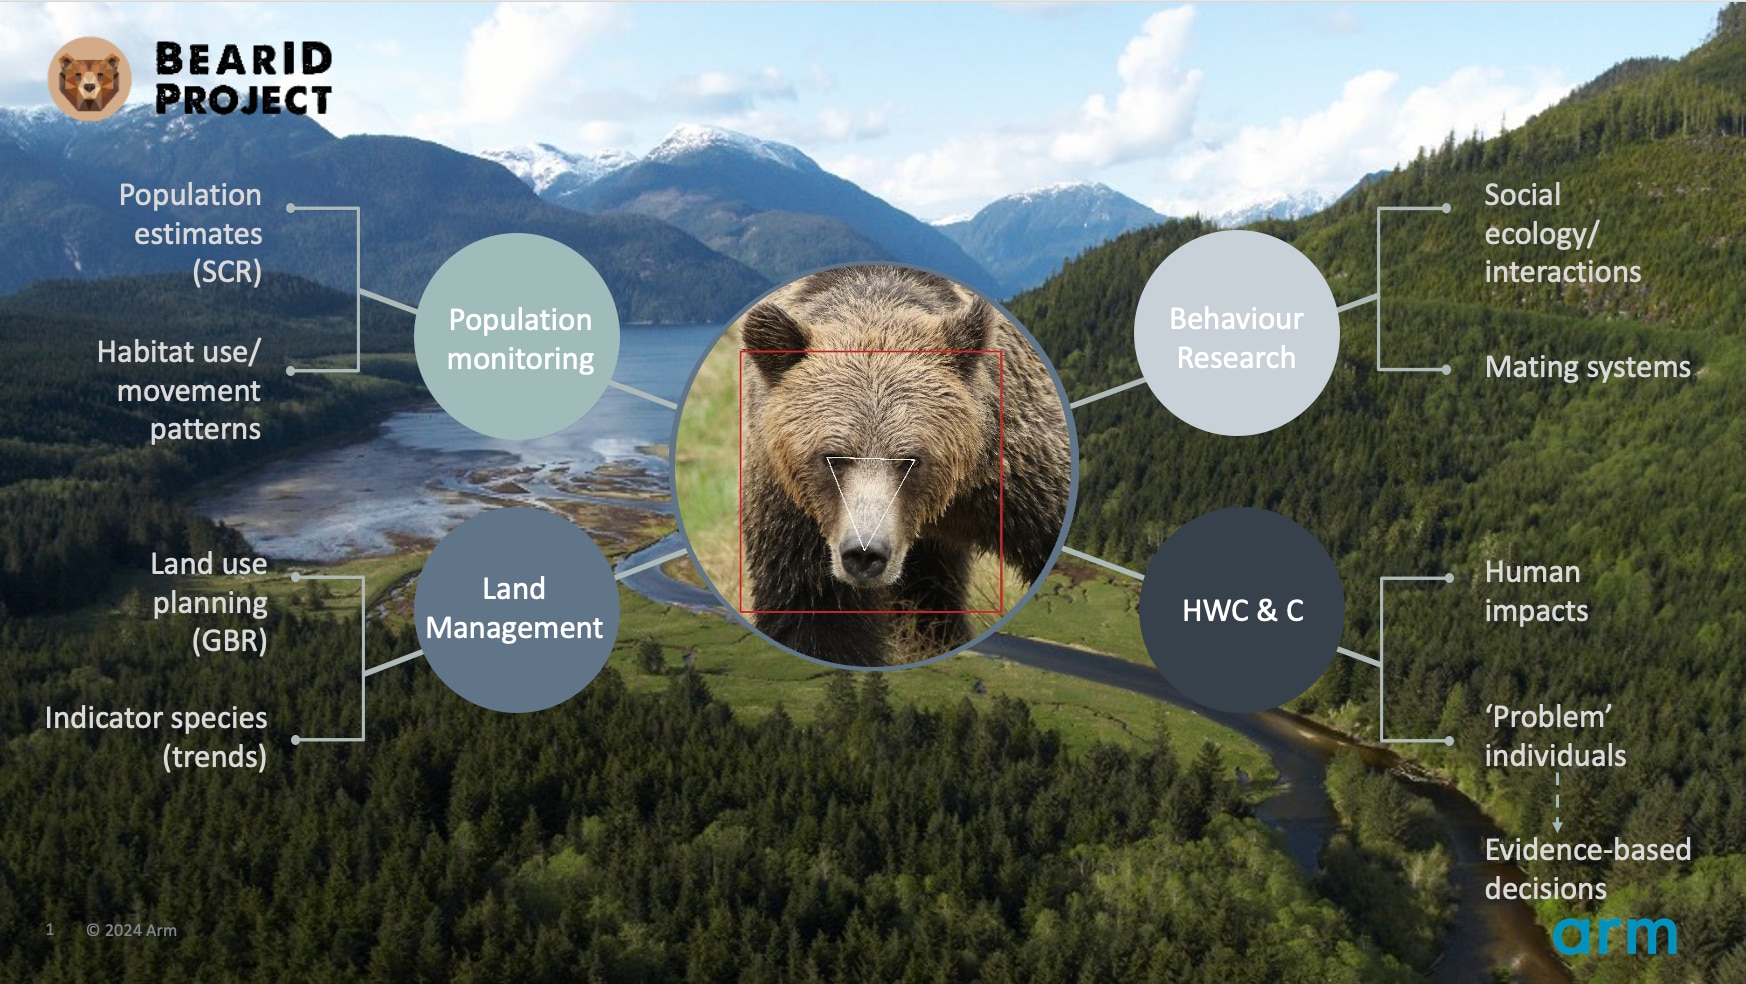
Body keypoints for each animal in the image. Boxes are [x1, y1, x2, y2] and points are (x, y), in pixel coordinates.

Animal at [739, 265, 1070, 666]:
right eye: (833, 457)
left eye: (910, 459)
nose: (865, 553)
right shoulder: (791, 505)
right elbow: (813, 614)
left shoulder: (1014, 472)